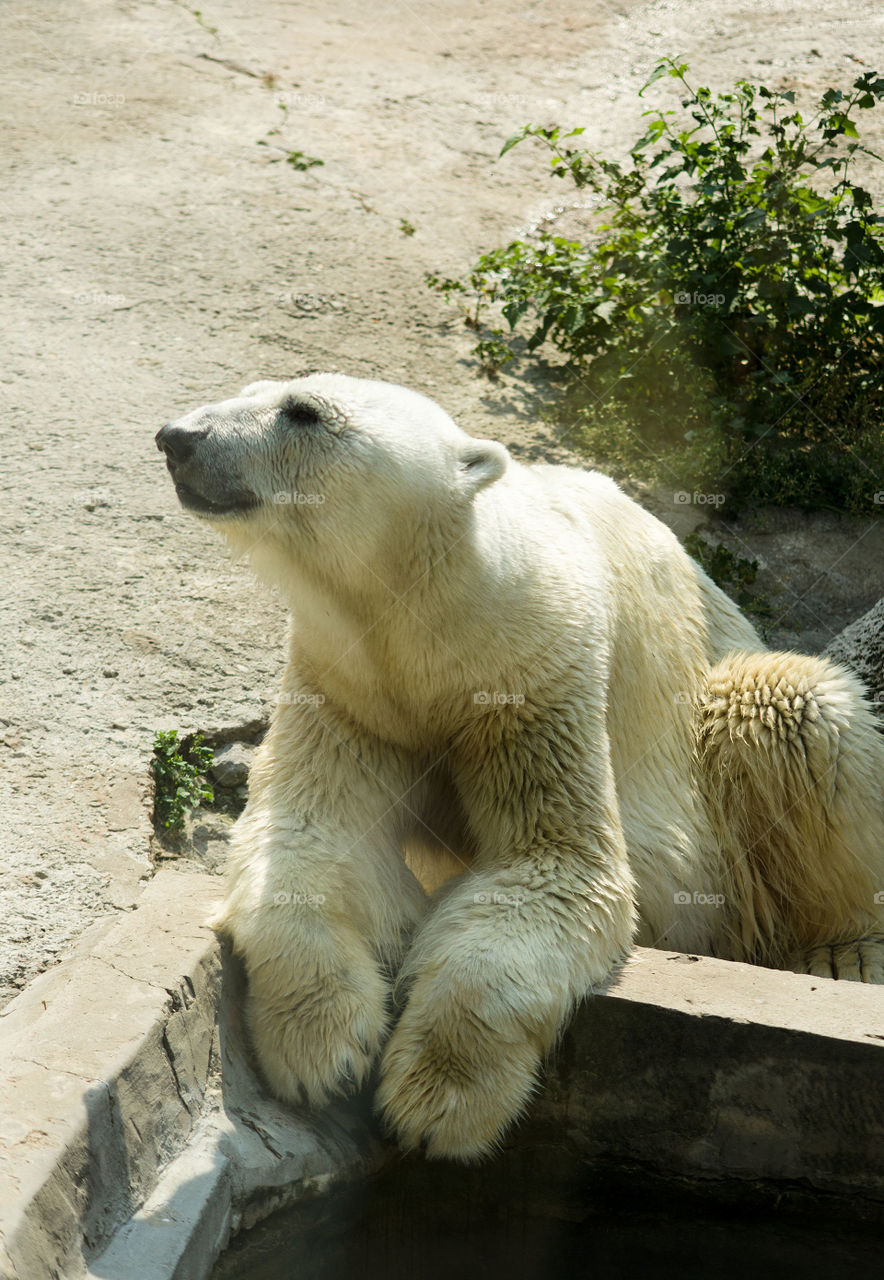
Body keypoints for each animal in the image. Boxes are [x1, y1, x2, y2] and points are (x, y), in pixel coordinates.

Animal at [156, 374, 884, 1161]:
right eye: (251, 389)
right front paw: (322, 1049)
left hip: (716, 739)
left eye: (303, 411)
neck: (424, 614)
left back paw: (844, 956)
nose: (177, 437)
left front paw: (439, 1101)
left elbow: (552, 866)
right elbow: (312, 833)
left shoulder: (535, 669)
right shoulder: (348, 684)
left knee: (799, 706)